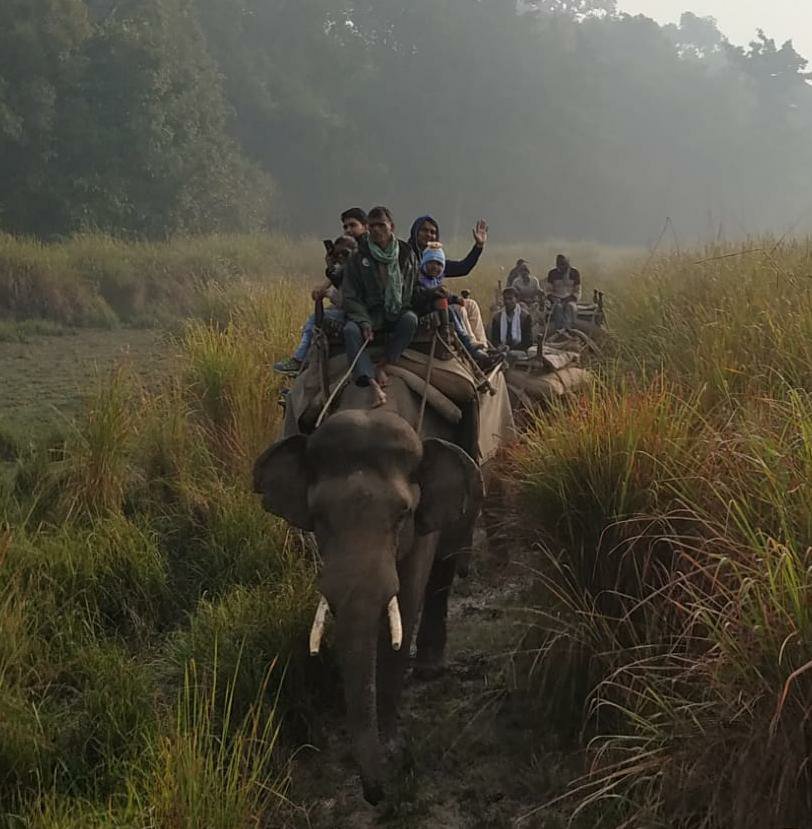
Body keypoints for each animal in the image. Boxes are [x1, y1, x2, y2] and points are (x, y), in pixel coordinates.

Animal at [252, 384, 482, 804]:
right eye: (318, 518)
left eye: (402, 515)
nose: (376, 794)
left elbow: (407, 598)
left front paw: (391, 746)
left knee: (444, 565)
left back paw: (429, 667)